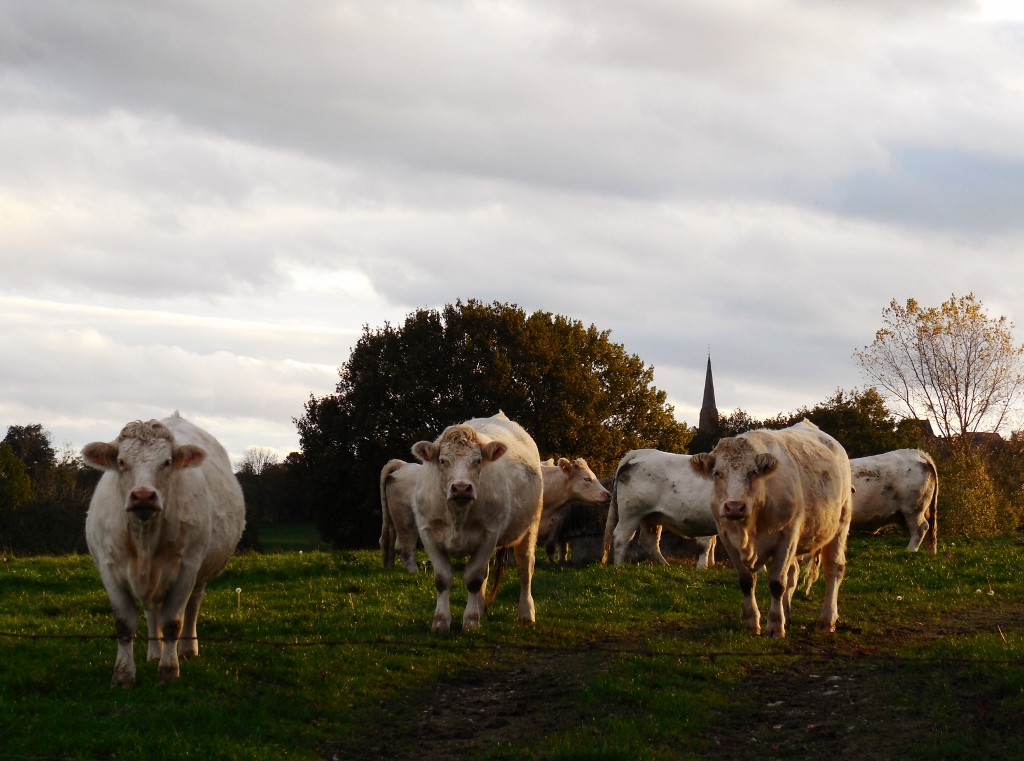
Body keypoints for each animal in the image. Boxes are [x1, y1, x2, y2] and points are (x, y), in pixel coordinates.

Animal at [82, 413, 244, 688]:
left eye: (167, 462)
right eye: (121, 462)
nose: (143, 496)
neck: (144, 539)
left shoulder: (187, 568)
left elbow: (172, 623)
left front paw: (169, 670)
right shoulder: (109, 569)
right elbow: (124, 624)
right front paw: (123, 674)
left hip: (200, 571)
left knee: (192, 605)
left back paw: (187, 649)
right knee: (151, 611)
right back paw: (154, 652)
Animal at [407, 413, 544, 635]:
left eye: (478, 461)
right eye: (443, 461)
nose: (461, 488)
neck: (457, 515)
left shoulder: (489, 534)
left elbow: (473, 579)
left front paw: (470, 621)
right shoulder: (428, 532)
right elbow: (443, 579)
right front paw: (441, 621)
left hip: (531, 526)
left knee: (525, 568)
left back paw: (526, 613)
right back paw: (481, 609)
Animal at [688, 421, 856, 635]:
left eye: (753, 472)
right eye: (717, 473)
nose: (734, 506)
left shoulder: (787, 536)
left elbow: (777, 583)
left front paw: (775, 625)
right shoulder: (728, 538)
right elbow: (746, 582)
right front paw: (752, 621)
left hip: (840, 523)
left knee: (833, 569)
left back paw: (827, 619)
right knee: (793, 573)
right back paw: (787, 615)